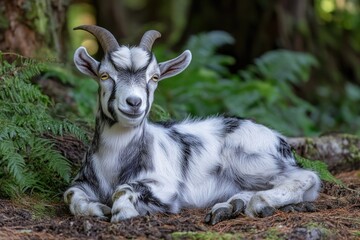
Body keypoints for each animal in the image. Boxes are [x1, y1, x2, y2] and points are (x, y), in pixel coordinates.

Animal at [64, 25, 320, 225]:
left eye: (154, 77)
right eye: (104, 75)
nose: (134, 102)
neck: (115, 161)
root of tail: (279, 140)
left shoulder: (166, 187)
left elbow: (124, 189)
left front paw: (123, 212)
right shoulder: (84, 181)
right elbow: (70, 194)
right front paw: (98, 208)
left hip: (249, 160)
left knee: (307, 177)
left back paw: (259, 203)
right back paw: (230, 206)